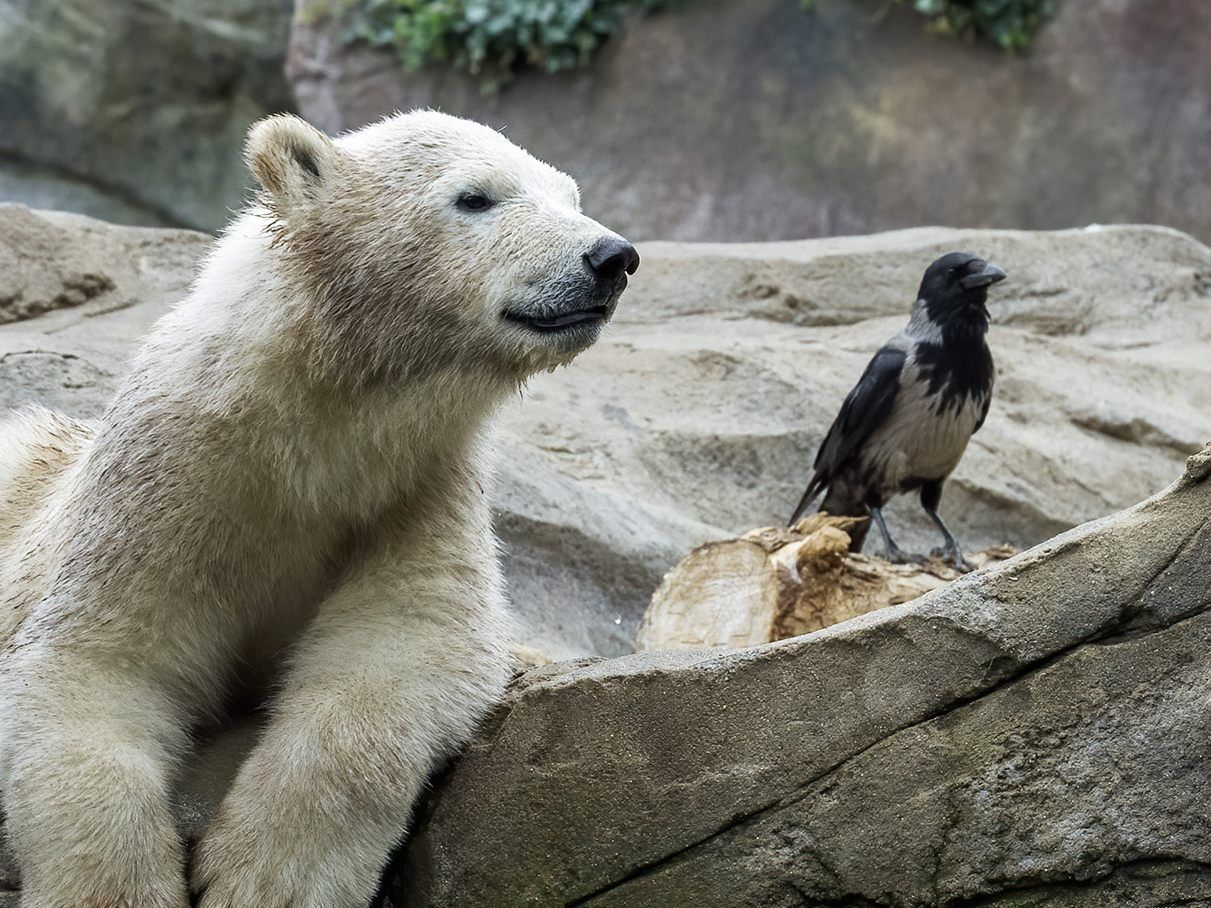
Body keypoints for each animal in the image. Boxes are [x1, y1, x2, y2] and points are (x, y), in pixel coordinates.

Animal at [0, 113, 644, 908]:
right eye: (475, 196)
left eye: (570, 194)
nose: (611, 257)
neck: (307, 426)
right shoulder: (161, 482)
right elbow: (95, 661)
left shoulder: (414, 488)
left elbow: (402, 648)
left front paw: (262, 877)